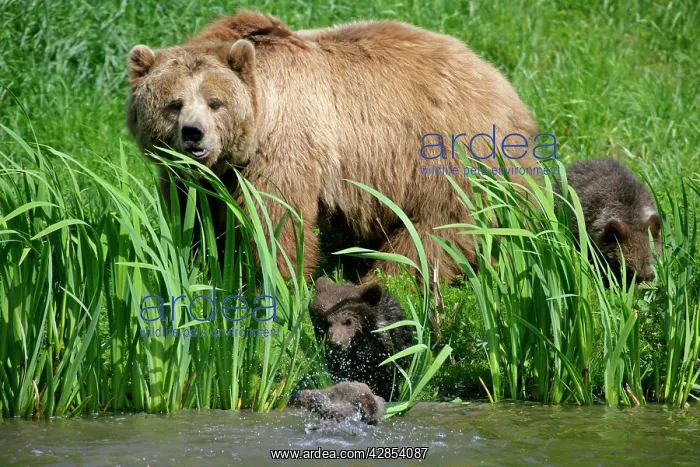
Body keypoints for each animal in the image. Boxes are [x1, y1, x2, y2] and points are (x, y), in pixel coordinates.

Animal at [126, 9, 543, 283]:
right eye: (174, 103)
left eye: (216, 103)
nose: (194, 134)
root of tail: (502, 84)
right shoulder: (195, 177)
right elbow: (194, 217)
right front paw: (195, 264)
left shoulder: (287, 141)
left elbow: (277, 217)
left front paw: (276, 281)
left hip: (448, 155)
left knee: (436, 232)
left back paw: (389, 281)